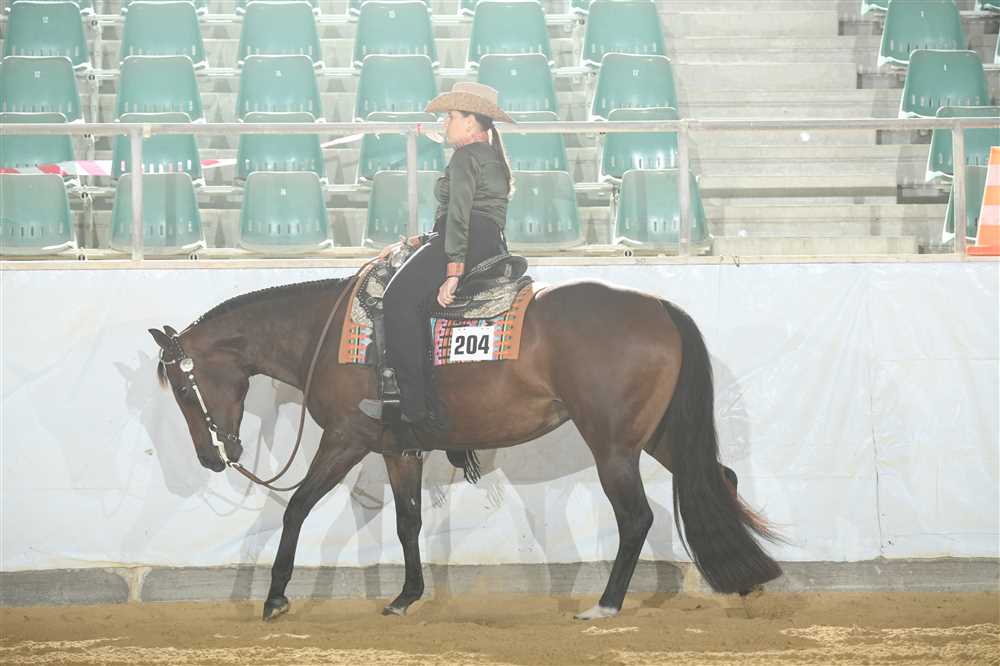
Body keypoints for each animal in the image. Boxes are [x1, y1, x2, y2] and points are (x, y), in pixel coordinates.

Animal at [148, 274, 783, 622]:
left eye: (181, 387)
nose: (211, 457)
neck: (327, 337)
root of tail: (658, 307)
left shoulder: (345, 439)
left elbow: (297, 507)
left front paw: (275, 599)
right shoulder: (398, 450)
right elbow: (407, 522)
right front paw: (405, 597)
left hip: (613, 445)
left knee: (636, 518)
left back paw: (604, 605)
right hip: (655, 434)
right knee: (718, 478)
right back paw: (746, 581)